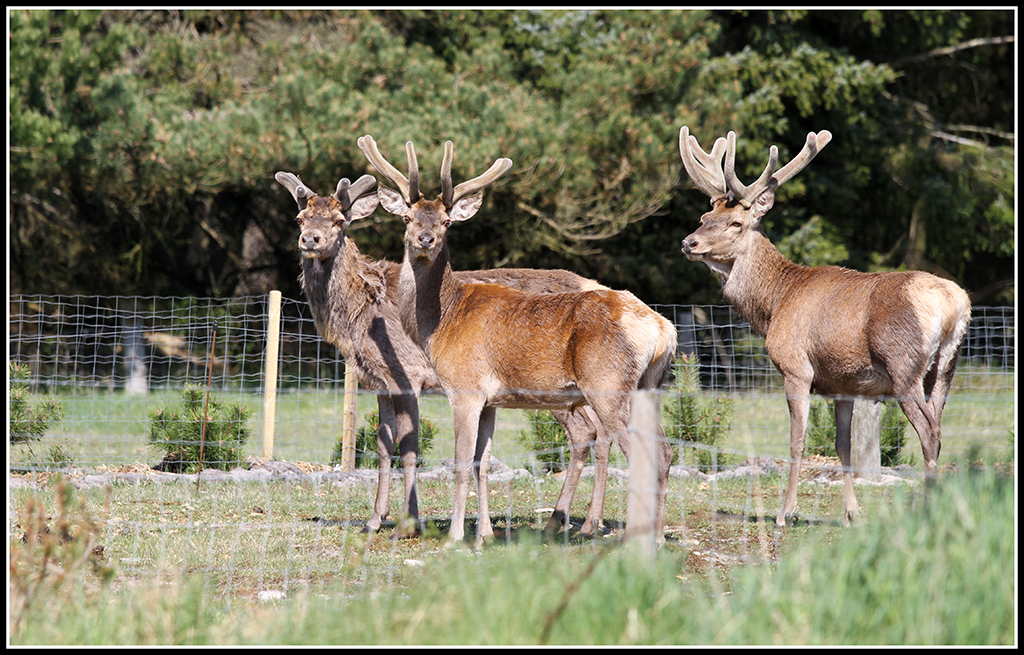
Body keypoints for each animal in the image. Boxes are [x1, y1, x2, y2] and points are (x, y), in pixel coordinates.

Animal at [276, 167, 630, 536]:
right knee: (597, 432)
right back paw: (577, 521)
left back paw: (573, 522)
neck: (358, 315)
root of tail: (595, 284)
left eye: (339, 220)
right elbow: (382, 447)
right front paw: (374, 519)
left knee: (587, 432)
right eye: (300, 218)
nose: (311, 240)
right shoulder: (377, 382)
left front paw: (409, 521)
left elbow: (409, 448)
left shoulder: (407, 374)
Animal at [360, 134, 679, 548]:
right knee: (666, 451)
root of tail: (663, 329)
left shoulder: (464, 387)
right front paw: (484, 535)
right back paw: (656, 538)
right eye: (407, 217)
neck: (441, 324)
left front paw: (455, 537)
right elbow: (481, 464)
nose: (425, 239)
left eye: (447, 221)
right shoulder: (492, 400)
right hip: (648, 386)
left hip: (608, 384)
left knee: (643, 453)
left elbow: (461, 463)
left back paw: (635, 539)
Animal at [675, 126, 970, 528]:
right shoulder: (842, 385)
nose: (689, 242)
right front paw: (851, 513)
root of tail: (955, 303)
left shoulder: (796, 367)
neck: (774, 306)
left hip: (904, 365)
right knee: (938, 429)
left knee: (928, 433)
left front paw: (786, 512)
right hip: (945, 368)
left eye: (735, 223)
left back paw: (925, 512)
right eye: (706, 215)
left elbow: (796, 441)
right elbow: (842, 447)